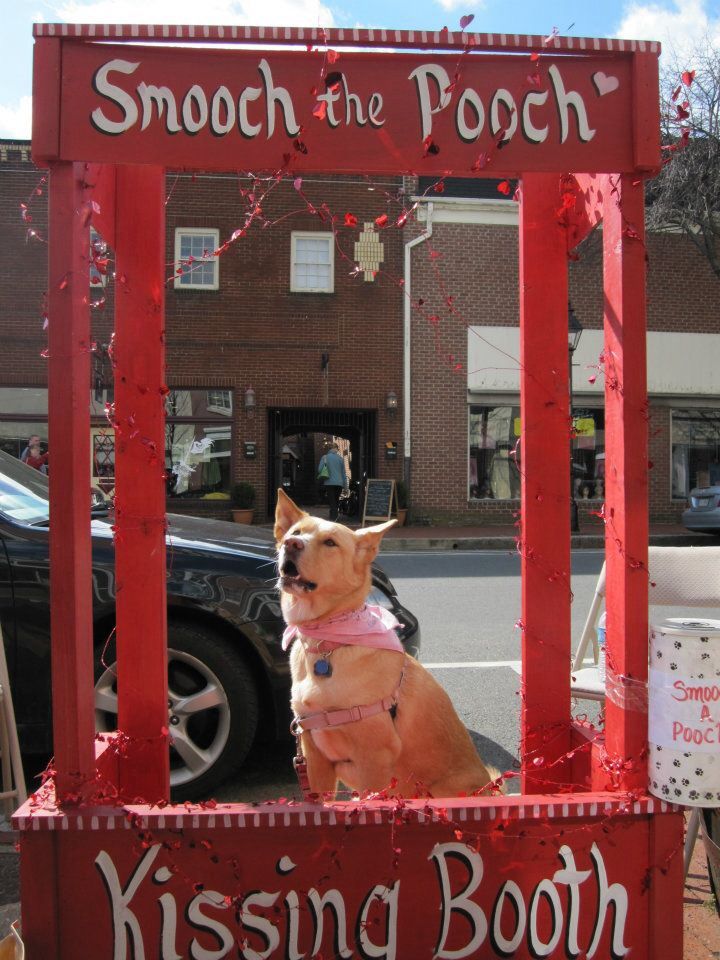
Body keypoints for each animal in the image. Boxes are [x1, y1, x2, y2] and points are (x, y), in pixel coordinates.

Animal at [276, 492, 496, 800]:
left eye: (330, 542)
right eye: (295, 533)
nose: (291, 544)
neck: (327, 641)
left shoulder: (374, 759)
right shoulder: (313, 753)